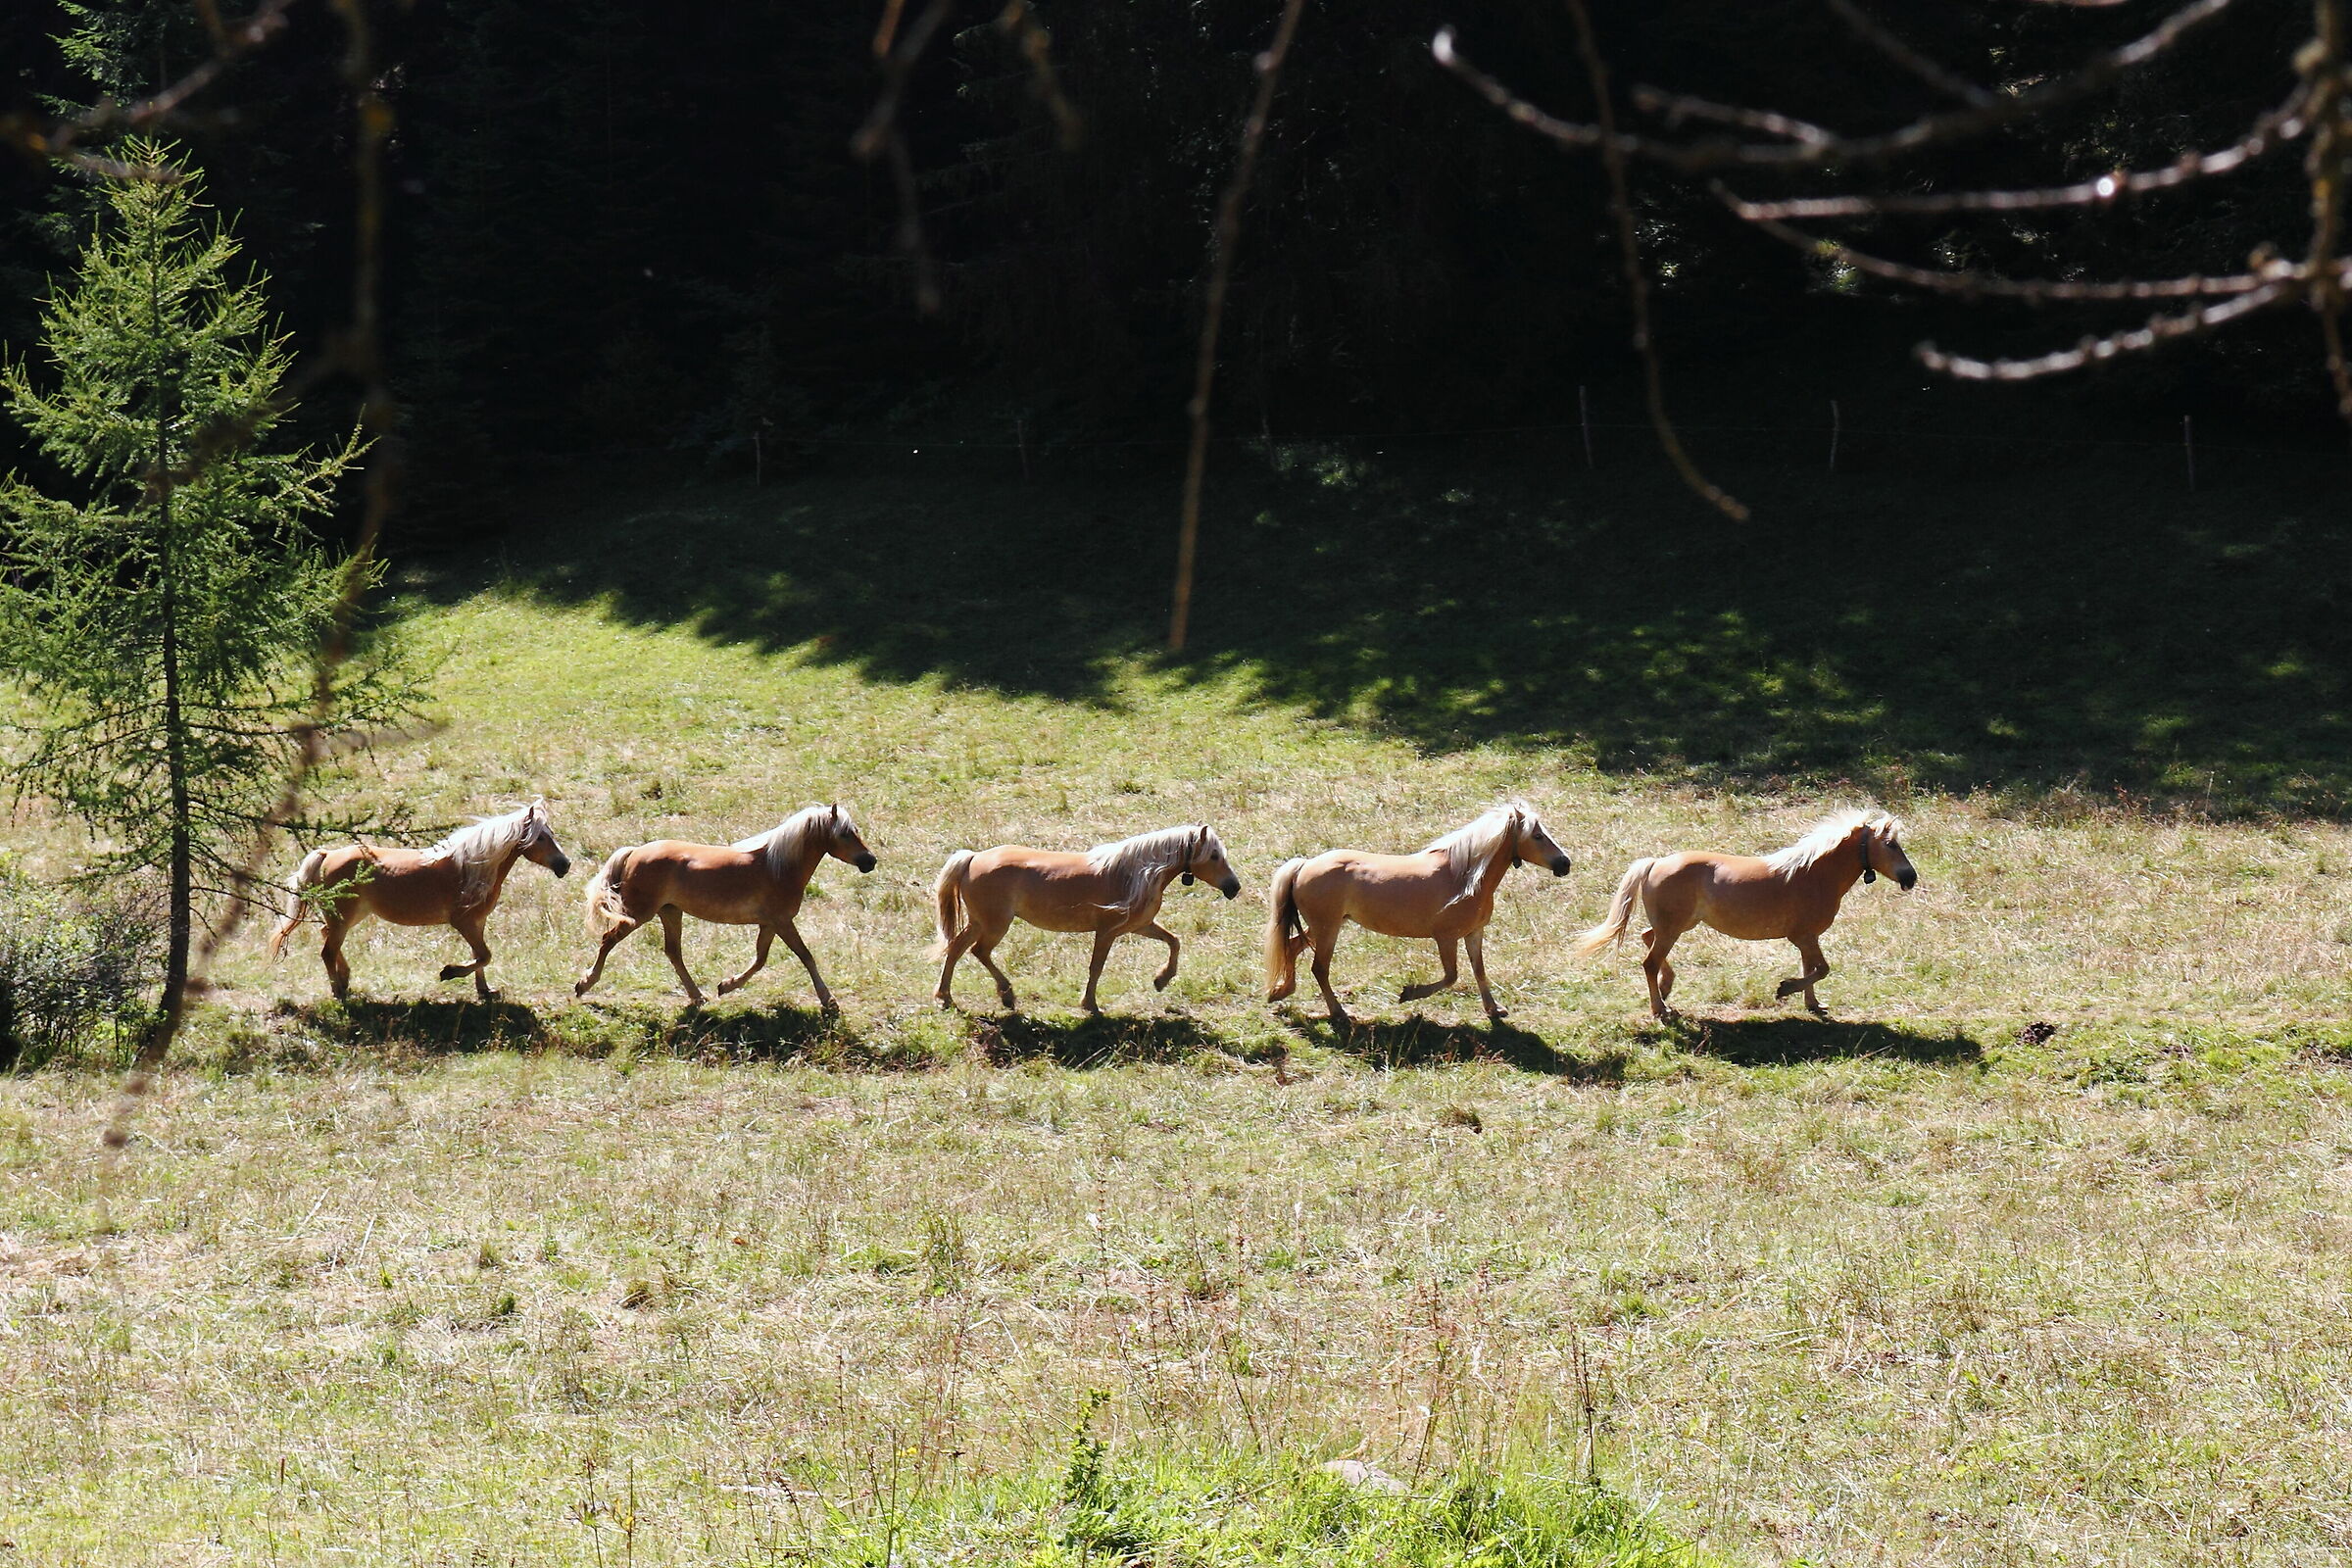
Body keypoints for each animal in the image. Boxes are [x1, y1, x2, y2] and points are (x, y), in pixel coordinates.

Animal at [267, 798, 574, 1001]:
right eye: (540, 838)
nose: (565, 865)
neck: (472, 867)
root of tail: (328, 854)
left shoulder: (478, 921)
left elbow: (481, 956)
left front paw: (485, 991)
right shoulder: (463, 921)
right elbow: (484, 955)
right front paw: (449, 973)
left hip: (350, 916)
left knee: (325, 936)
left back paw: (345, 980)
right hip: (343, 918)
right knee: (327, 951)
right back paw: (339, 992)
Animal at [573, 804, 876, 1011]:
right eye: (845, 833)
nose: (870, 861)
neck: (778, 866)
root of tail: (635, 851)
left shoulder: (769, 924)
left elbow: (760, 959)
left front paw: (726, 985)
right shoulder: (782, 921)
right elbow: (805, 956)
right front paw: (829, 1001)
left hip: (670, 911)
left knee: (673, 952)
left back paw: (697, 996)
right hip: (639, 914)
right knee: (608, 940)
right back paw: (584, 984)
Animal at [932, 824, 1241, 1013]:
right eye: (1214, 855)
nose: (1234, 887)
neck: (1133, 874)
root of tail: (973, 857)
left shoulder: (1140, 926)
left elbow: (1174, 941)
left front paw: (1161, 980)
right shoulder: (1107, 931)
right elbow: (1096, 967)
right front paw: (1090, 1005)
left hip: (979, 922)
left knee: (956, 949)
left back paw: (946, 997)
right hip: (995, 924)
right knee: (978, 951)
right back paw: (1006, 994)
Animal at [1263, 802, 1572, 1025]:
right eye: (1537, 835)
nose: (1565, 864)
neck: (1463, 878)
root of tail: (1305, 865)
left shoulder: (1474, 933)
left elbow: (1479, 970)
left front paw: (1494, 1010)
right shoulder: (1445, 937)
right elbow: (1451, 976)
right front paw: (1408, 993)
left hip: (1322, 927)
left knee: (1292, 947)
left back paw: (1281, 992)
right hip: (1328, 929)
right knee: (1319, 968)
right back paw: (1338, 1013)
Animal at [1574, 808, 1917, 1019]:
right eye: (1890, 844)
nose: (1910, 877)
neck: (1814, 873)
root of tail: (1656, 862)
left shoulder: (1807, 938)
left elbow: (1811, 969)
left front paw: (1814, 1005)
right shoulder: (1803, 936)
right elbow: (1820, 969)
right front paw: (1784, 989)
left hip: (1677, 926)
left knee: (1647, 939)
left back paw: (1666, 987)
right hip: (1672, 929)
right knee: (1649, 962)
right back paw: (1661, 1009)